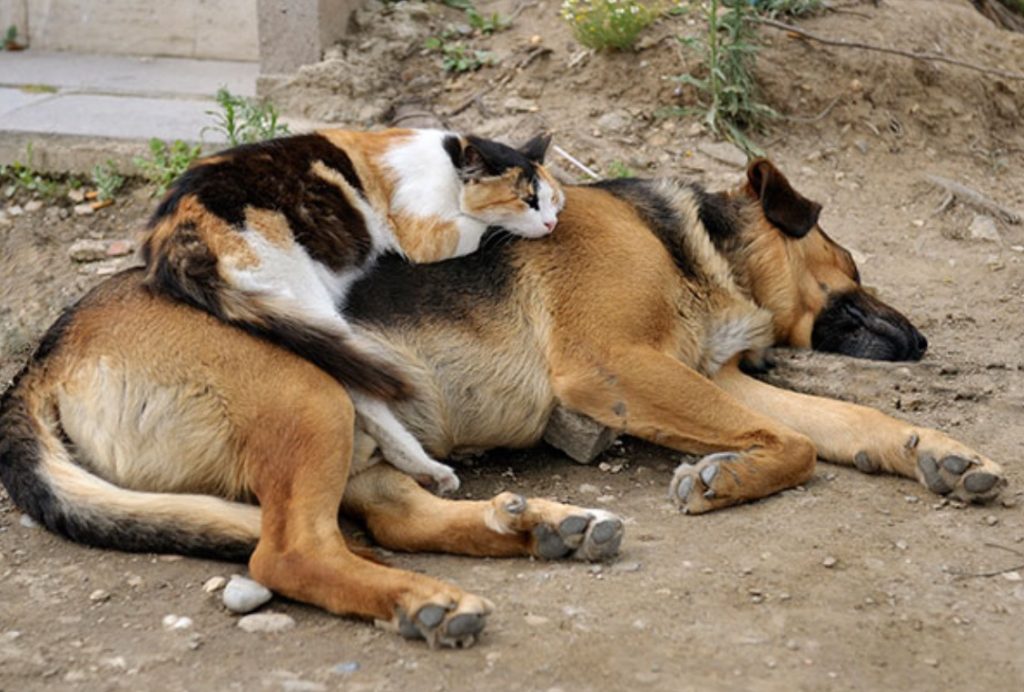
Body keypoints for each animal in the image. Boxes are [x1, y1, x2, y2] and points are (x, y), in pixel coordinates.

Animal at [140, 125, 565, 491]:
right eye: (527, 200)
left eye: (554, 200)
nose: (550, 223)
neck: (449, 161)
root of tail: (174, 235)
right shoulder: (428, 235)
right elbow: (478, 227)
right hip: (303, 296)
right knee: (360, 390)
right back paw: (430, 468)